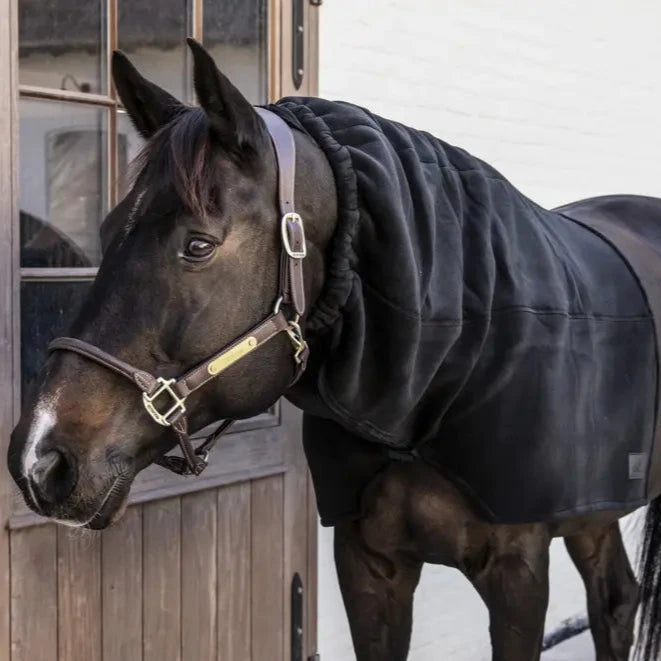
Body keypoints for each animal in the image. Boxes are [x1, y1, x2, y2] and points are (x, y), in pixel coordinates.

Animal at [7, 38, 660, 656]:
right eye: (107, 229)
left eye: (198, 245)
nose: (40, 461)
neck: (444, 371)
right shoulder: (368, 564)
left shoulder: (518, 573)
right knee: (617, 602)